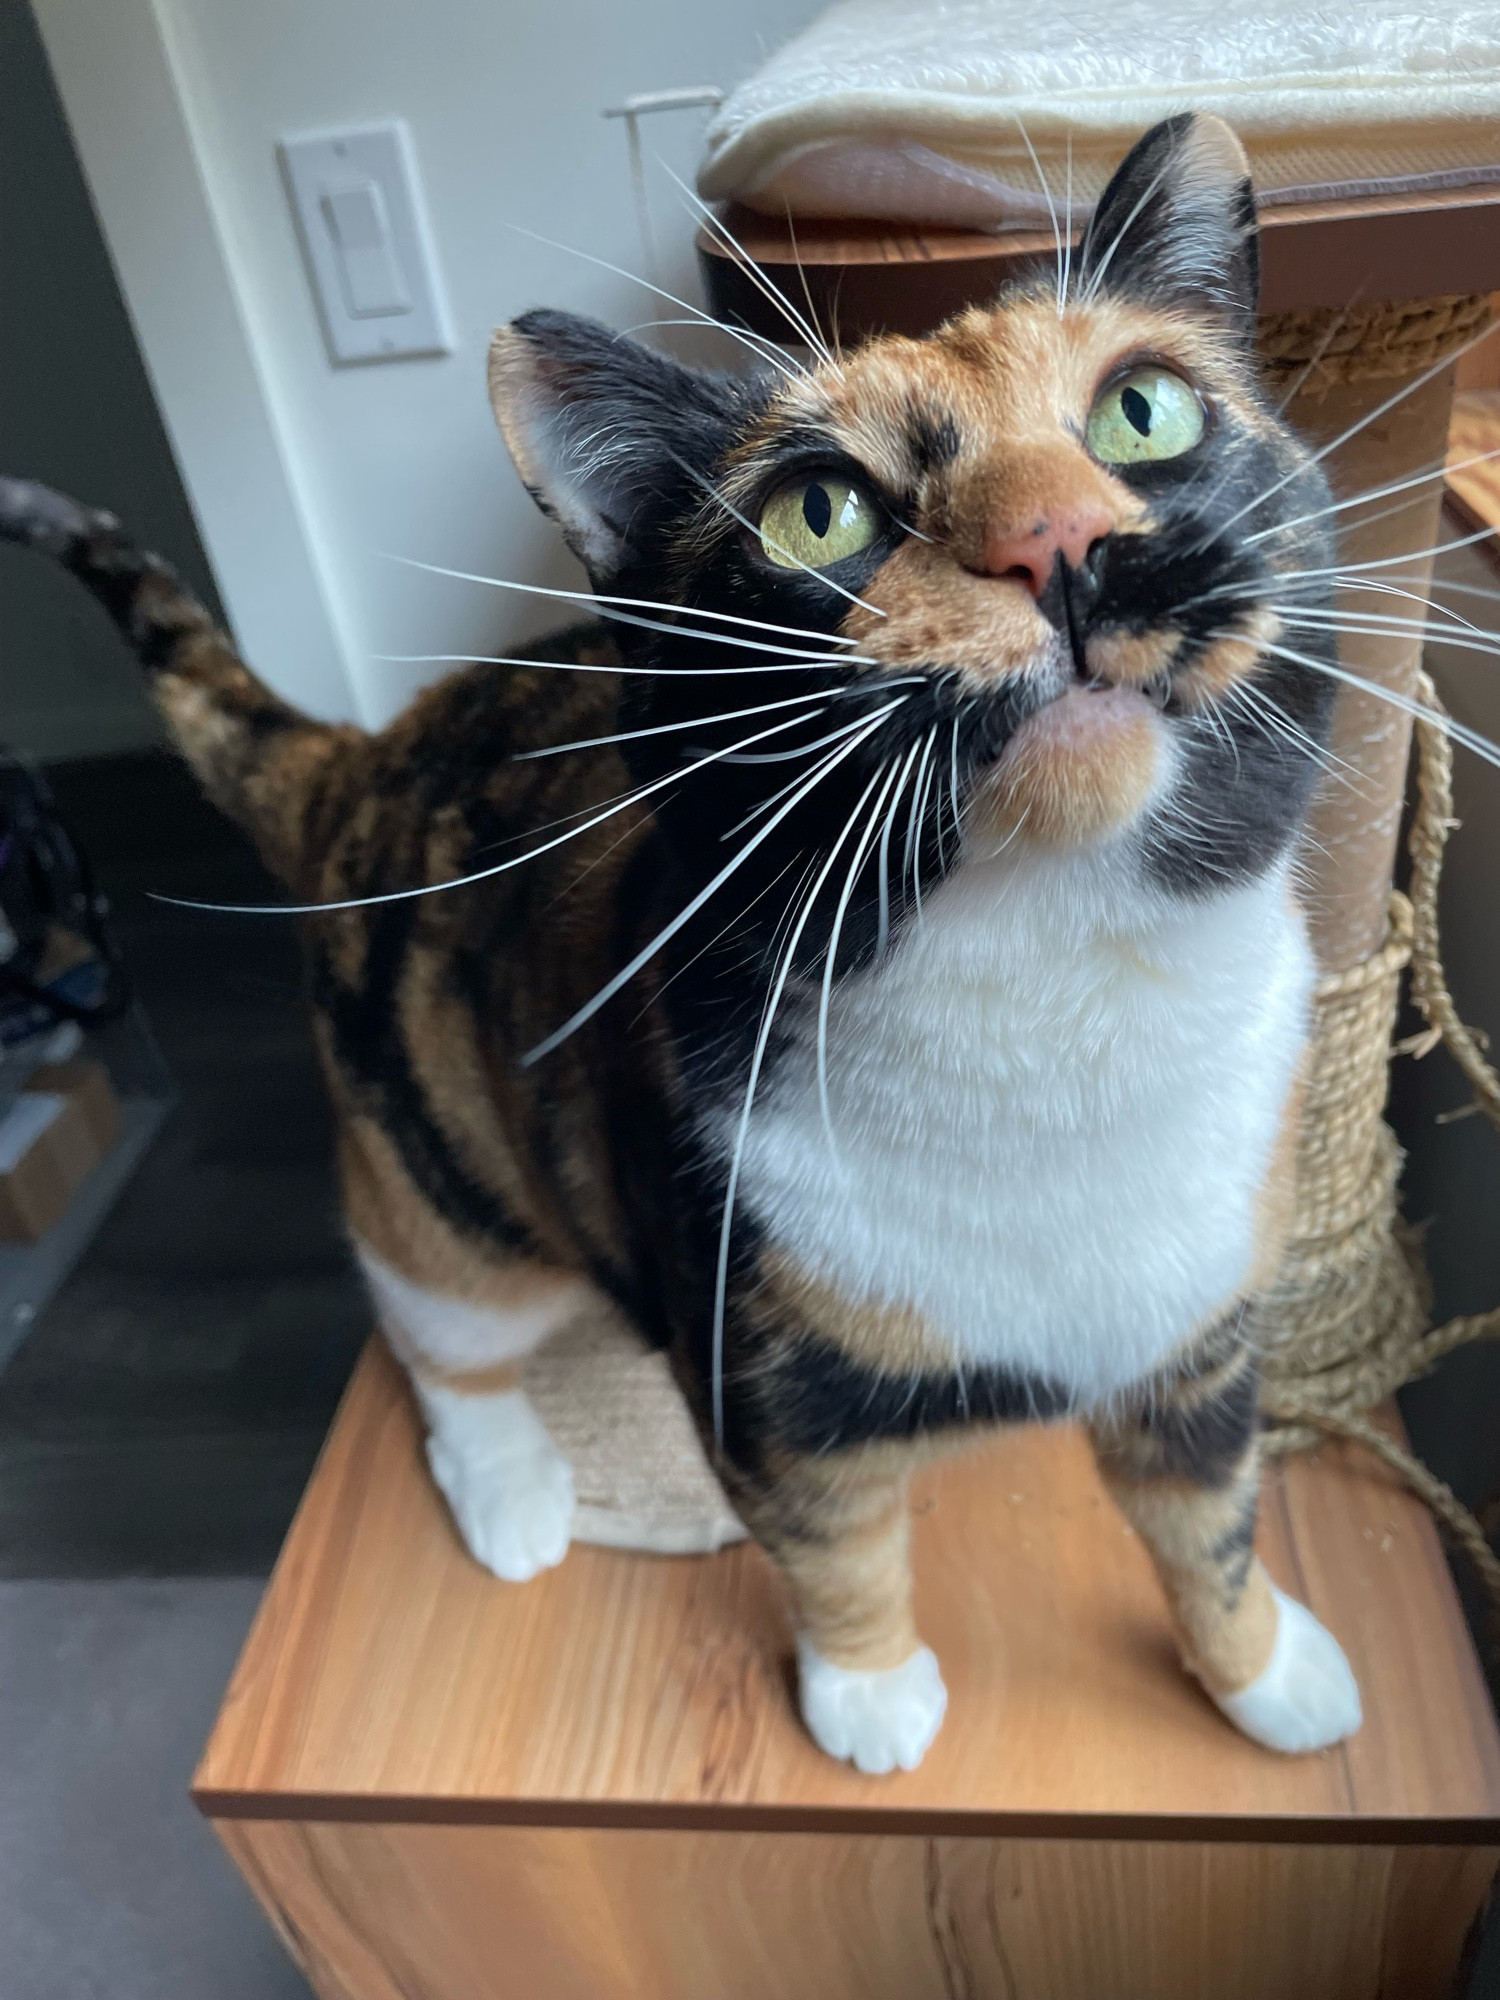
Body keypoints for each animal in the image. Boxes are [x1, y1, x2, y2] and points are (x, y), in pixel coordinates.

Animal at [0, 113, 1360, 1768]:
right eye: (819, 509)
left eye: (1145, 409)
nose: (1058, 542)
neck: (1056, 996)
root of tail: (361, 760)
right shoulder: (761, 1389)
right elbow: (837, 1548)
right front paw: (868, 1697)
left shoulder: (1201, 1338)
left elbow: (1208, 1518)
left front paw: (1267, 1673)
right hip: (443, 1168)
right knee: (434, 1320)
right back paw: (513, 1491)